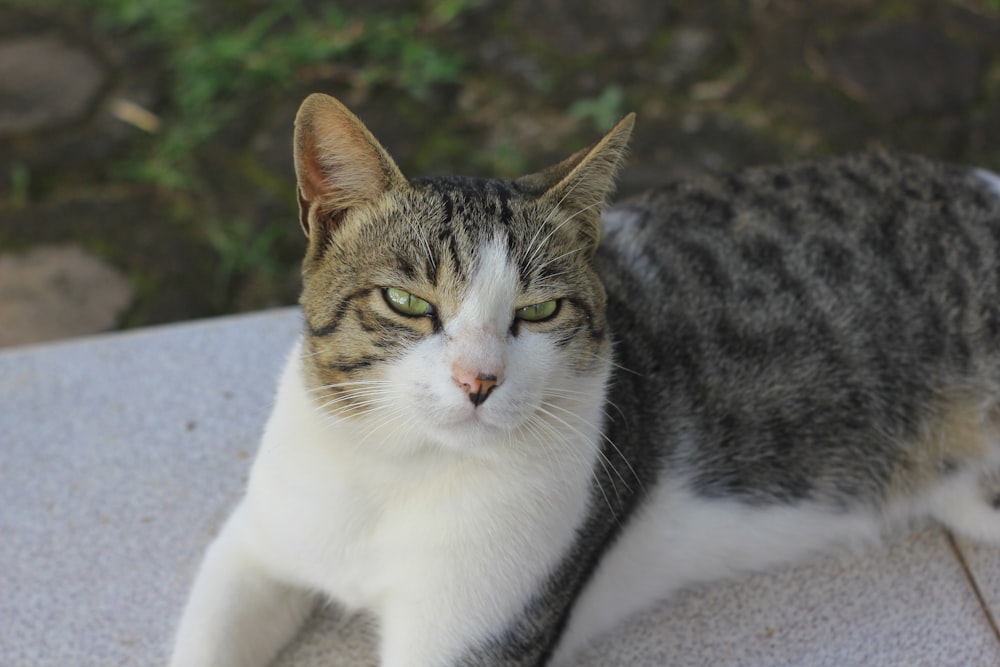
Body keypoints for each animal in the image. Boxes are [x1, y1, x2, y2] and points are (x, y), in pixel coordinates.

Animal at [168, 94, 1000, 667]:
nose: (478, 380)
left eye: (539, 311)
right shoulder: (256, 550)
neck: (398, 468)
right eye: (406, 301)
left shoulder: (473, 637)